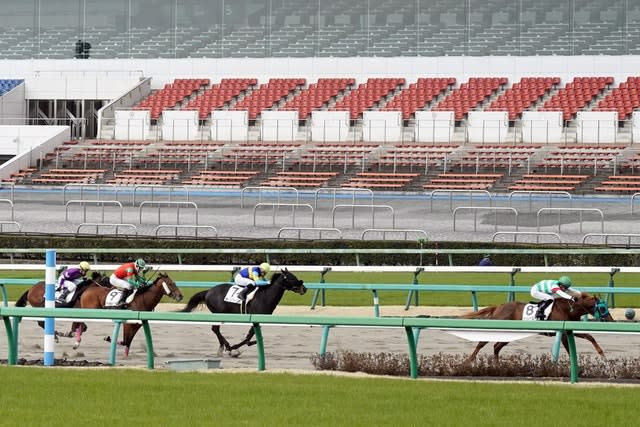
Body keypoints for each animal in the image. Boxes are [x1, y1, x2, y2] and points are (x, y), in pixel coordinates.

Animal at [180, 270, 308, 358]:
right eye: (291, 277)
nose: (304, 288)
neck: (265, 296)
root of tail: (209, 291)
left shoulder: (258, 320)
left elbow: (251, 336)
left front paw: (243, 345)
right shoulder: (255, 317)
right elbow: (248, 338)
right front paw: (235, 349)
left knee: (215, 329)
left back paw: (225, 347)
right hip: (219, 312)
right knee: (215, 329)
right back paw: (227, 347)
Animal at [460, 290, 616, 364]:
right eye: (603, 308)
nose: (611, 320)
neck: (568, 309)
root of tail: (499, 306)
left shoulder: (569, 329)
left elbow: (590, 336)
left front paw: (602, 355)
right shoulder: (563, 333)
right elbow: (569, 350)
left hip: (510, 333)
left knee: (496, 346)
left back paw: (497, 365)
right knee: (482, 343)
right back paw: (468, 361)